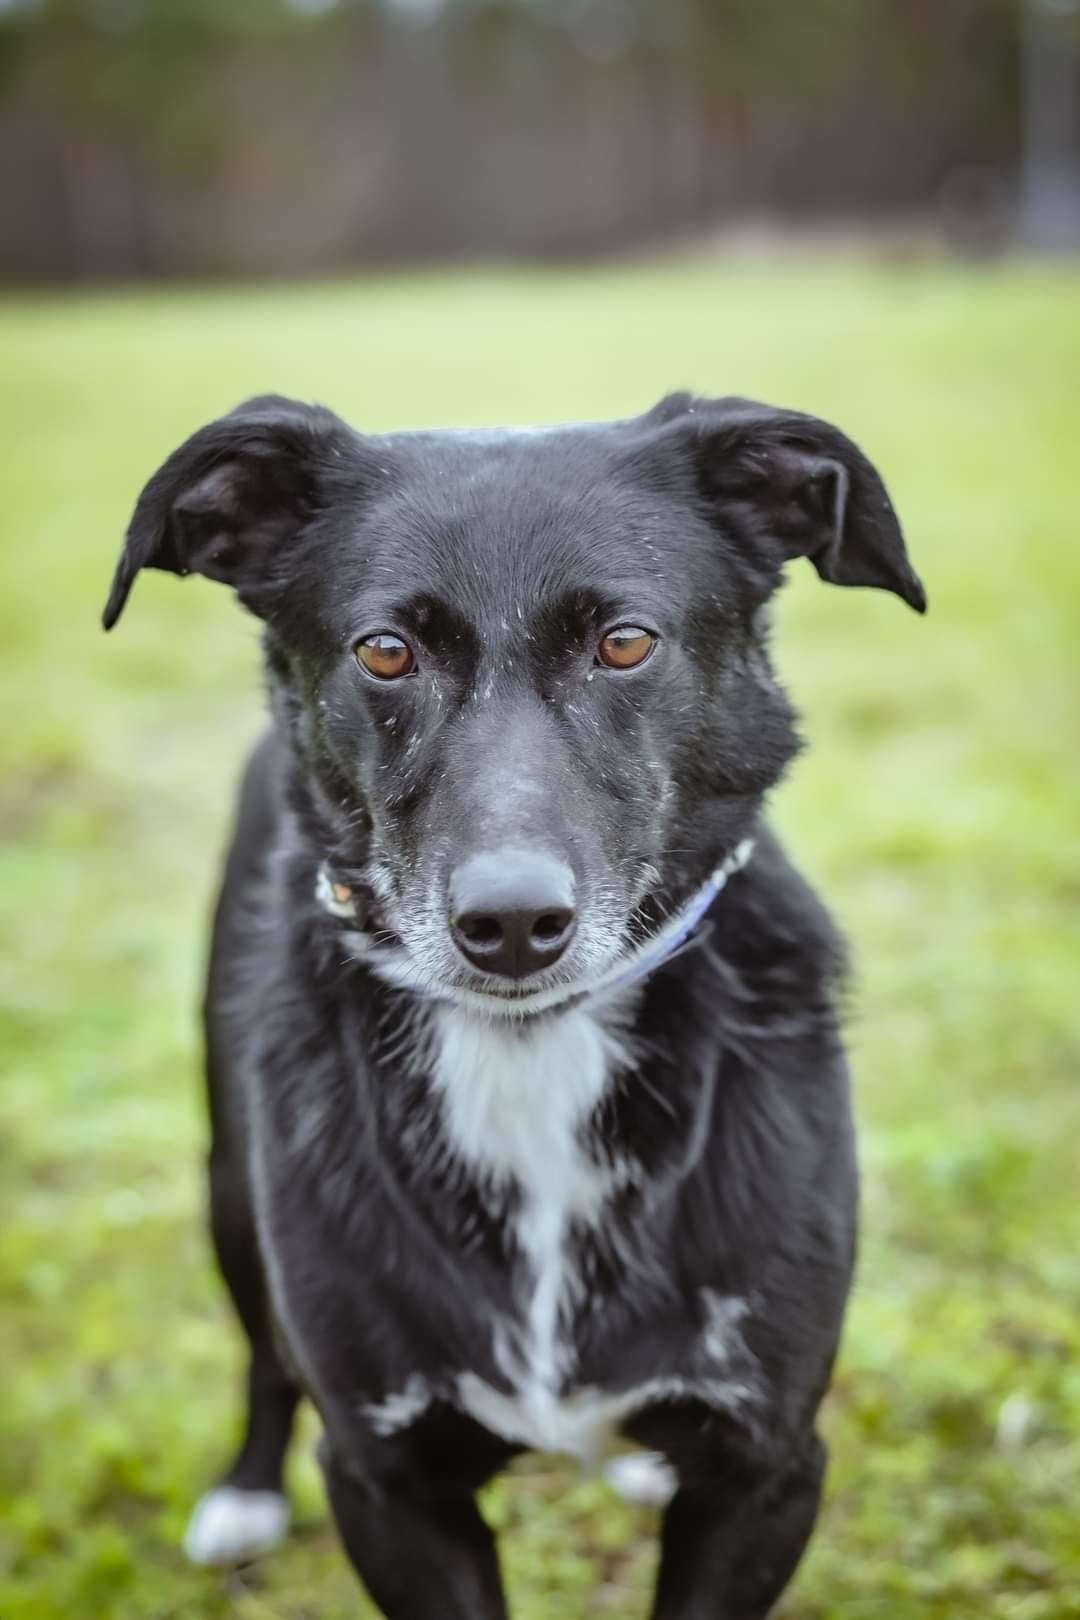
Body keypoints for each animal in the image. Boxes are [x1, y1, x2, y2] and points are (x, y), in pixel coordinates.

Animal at [105, 395, 926, 1620]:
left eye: (625, 642)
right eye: (384, 651)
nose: (510, 922)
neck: (534, 1050)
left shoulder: (768, 1470)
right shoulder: (390, 1484)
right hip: (227, 1182)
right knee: (260, 1347)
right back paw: (246, 1493)